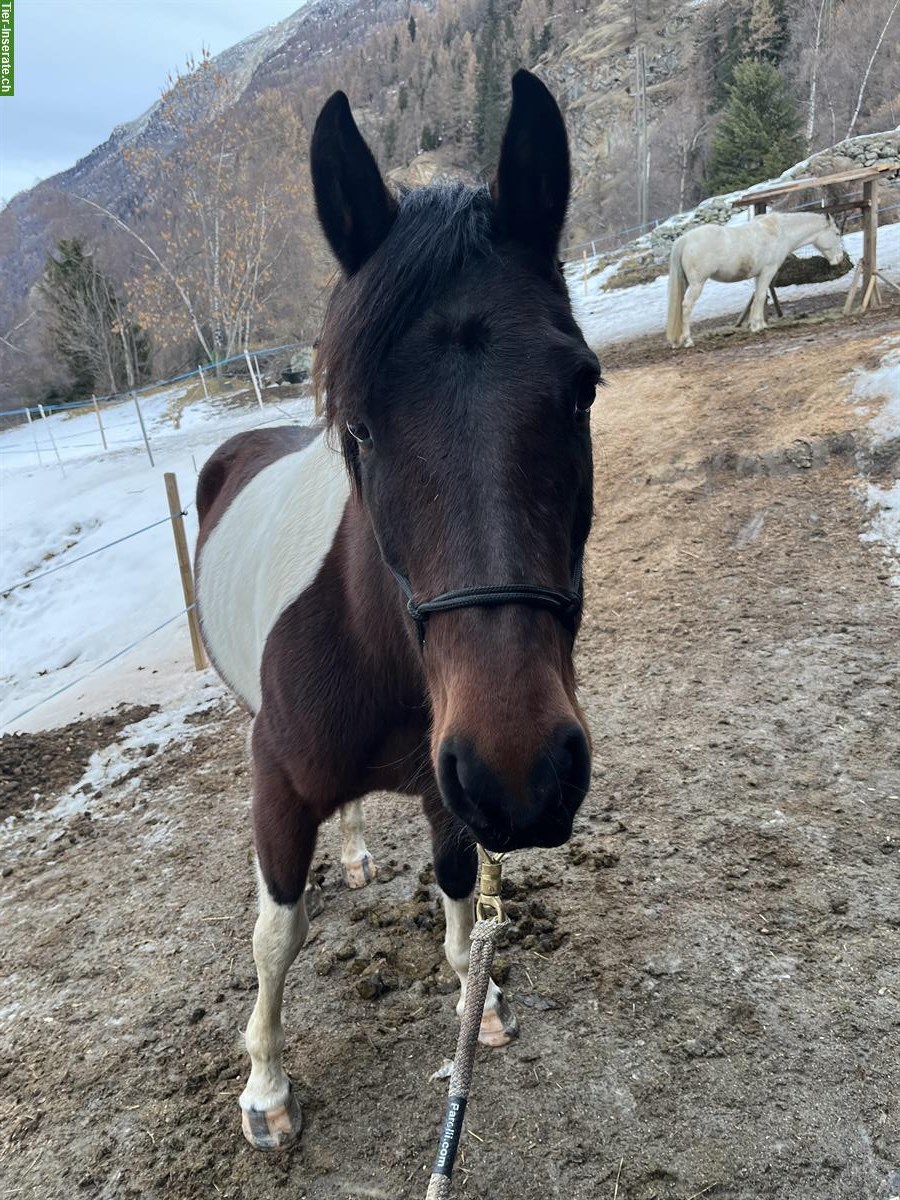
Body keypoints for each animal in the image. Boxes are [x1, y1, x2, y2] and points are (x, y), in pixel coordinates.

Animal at [193, 69, 600, 1152]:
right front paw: (265, 1088)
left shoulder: (444, 788)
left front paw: (481, 1004)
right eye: (363, 425)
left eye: (583, 390)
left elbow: (461, 913)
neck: (369, 647)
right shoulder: (276, 782)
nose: (524, 774)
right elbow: (276, 932)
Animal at [666, 210, 845, 348]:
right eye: (837, 233)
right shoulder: (768, 271)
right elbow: (760, 297)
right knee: (686, 306)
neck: (779, 232)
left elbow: (760, 296)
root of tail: (684, 240)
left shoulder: (759, 275)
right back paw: (688, 340)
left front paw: (758, 324)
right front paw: (758, 327)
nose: (840, 258)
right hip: (697, 284)